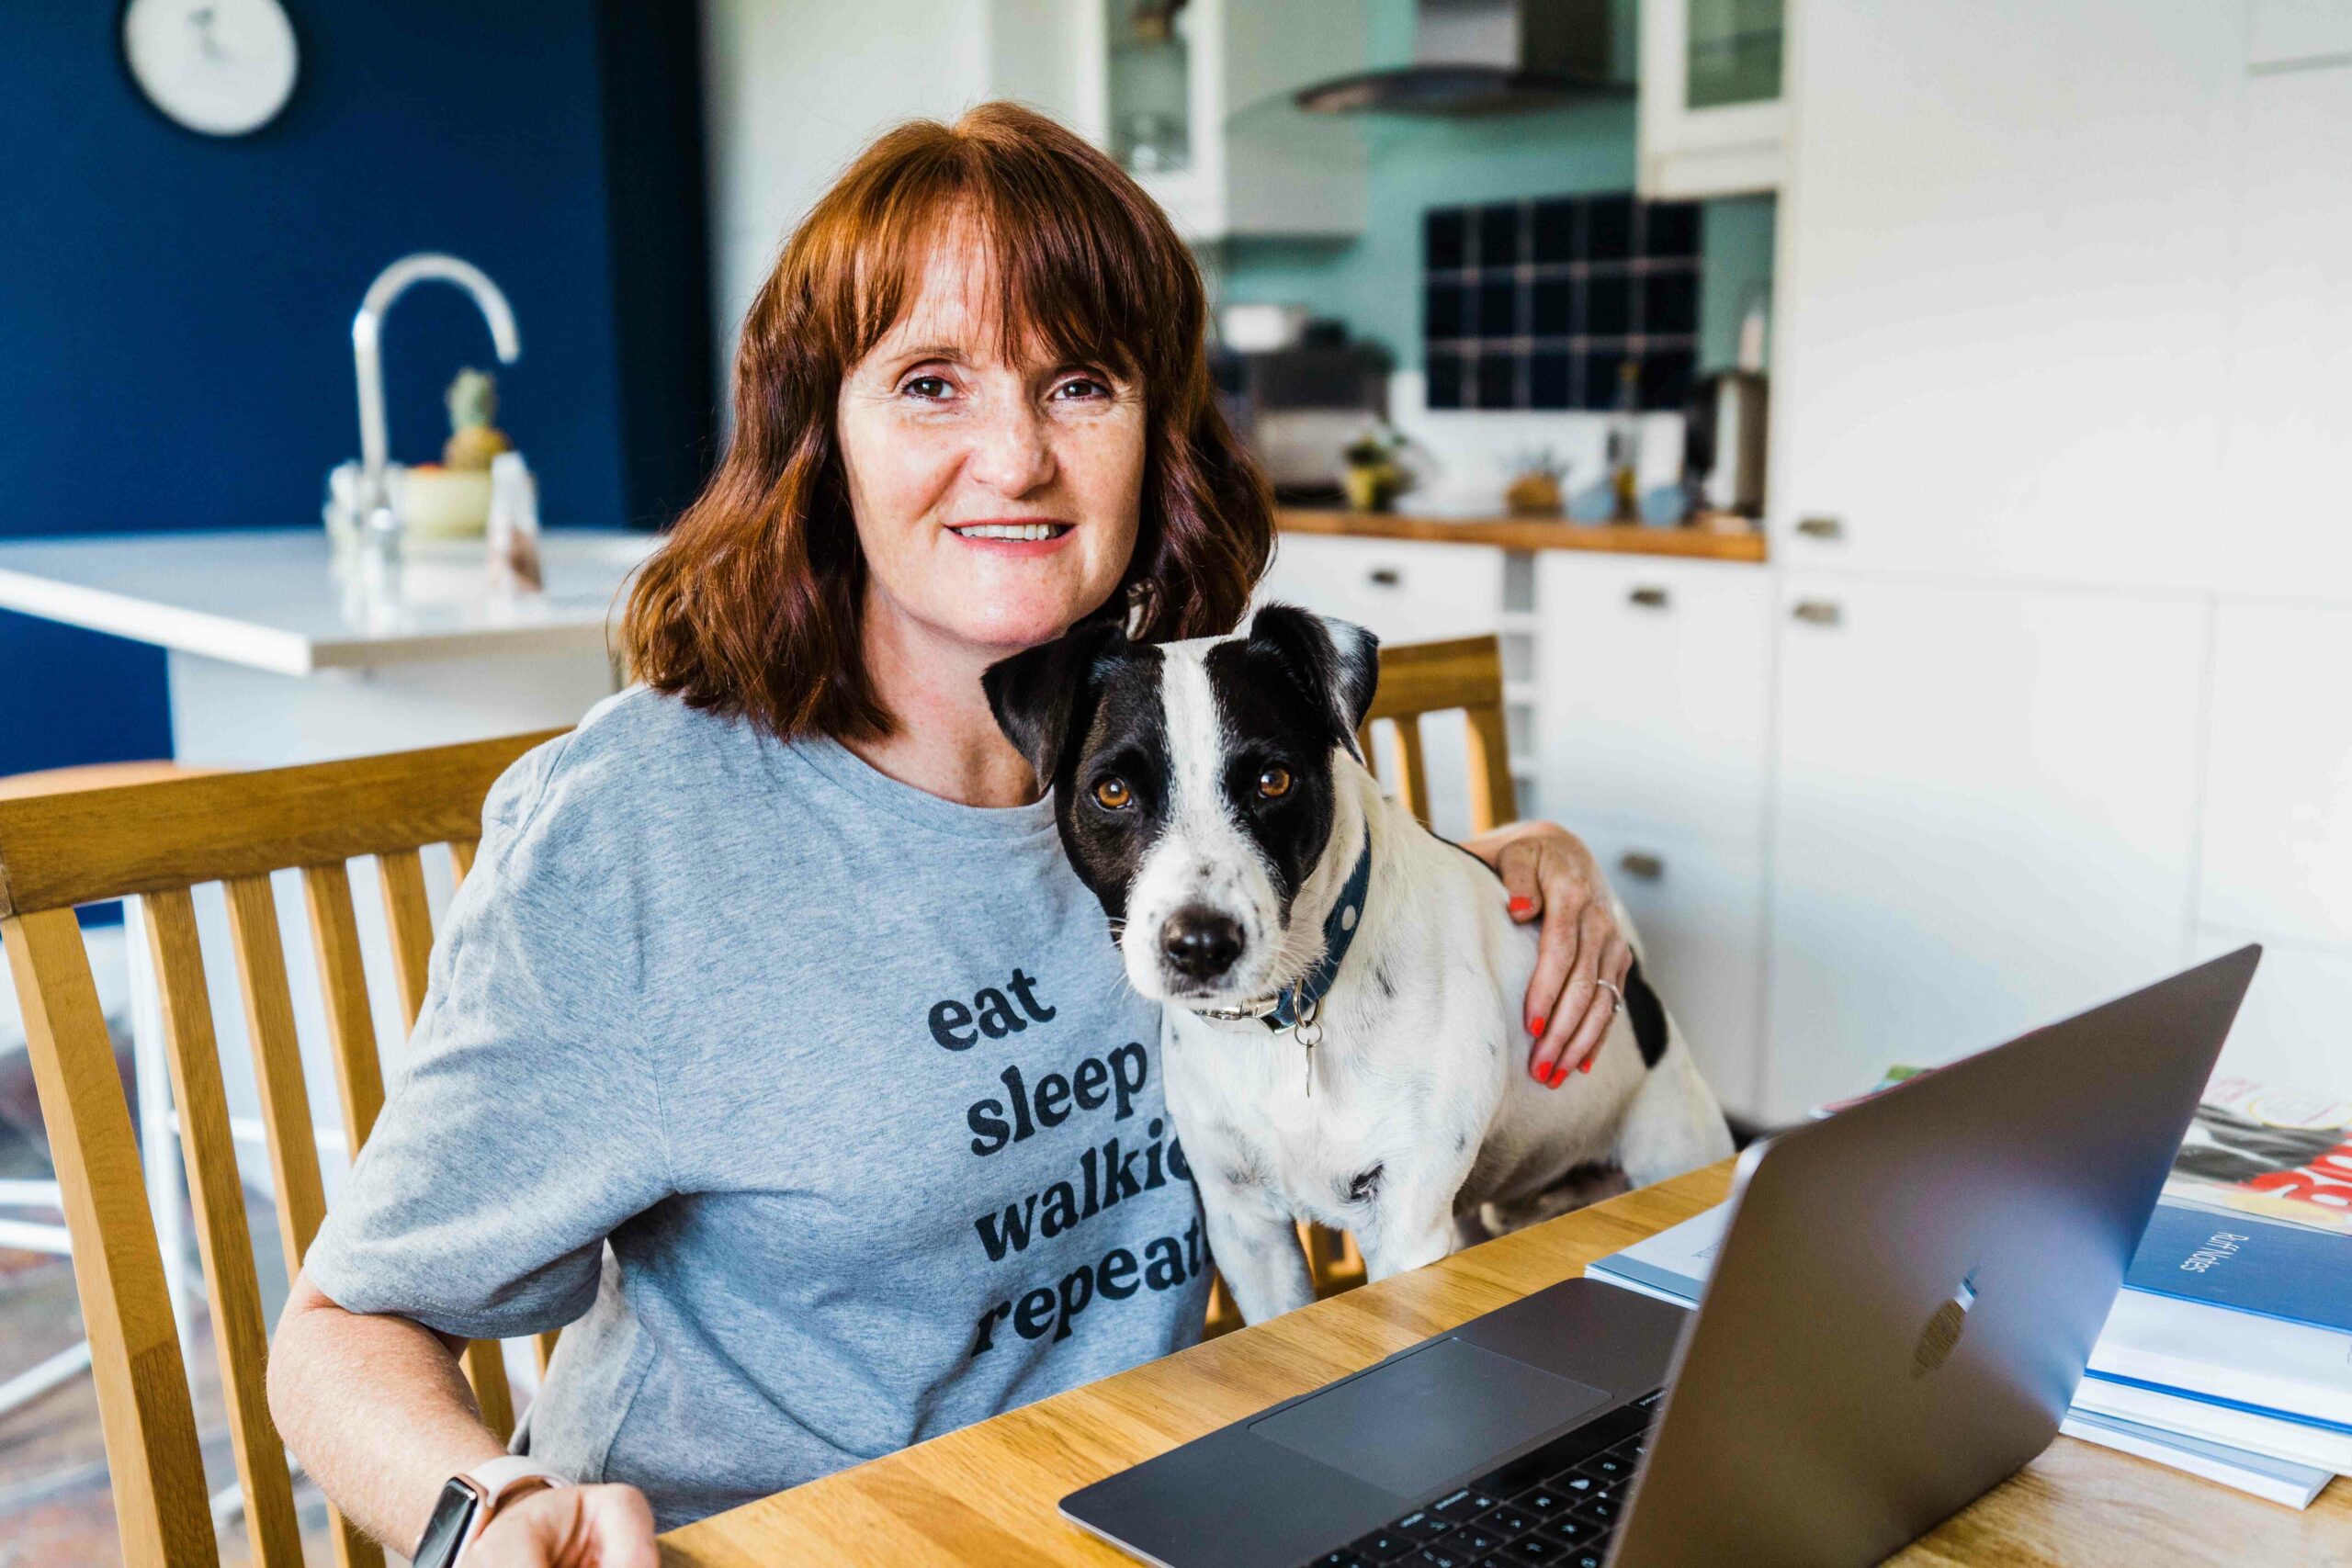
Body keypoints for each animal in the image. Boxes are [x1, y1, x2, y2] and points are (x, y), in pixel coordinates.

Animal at [983, 606, 1740, 1325]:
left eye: (1273, 780)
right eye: (1111, 792)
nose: (1200, 944)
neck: (1282, 1021)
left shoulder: (1407, 1229)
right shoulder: (1247, 1228)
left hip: (1666, 1144)